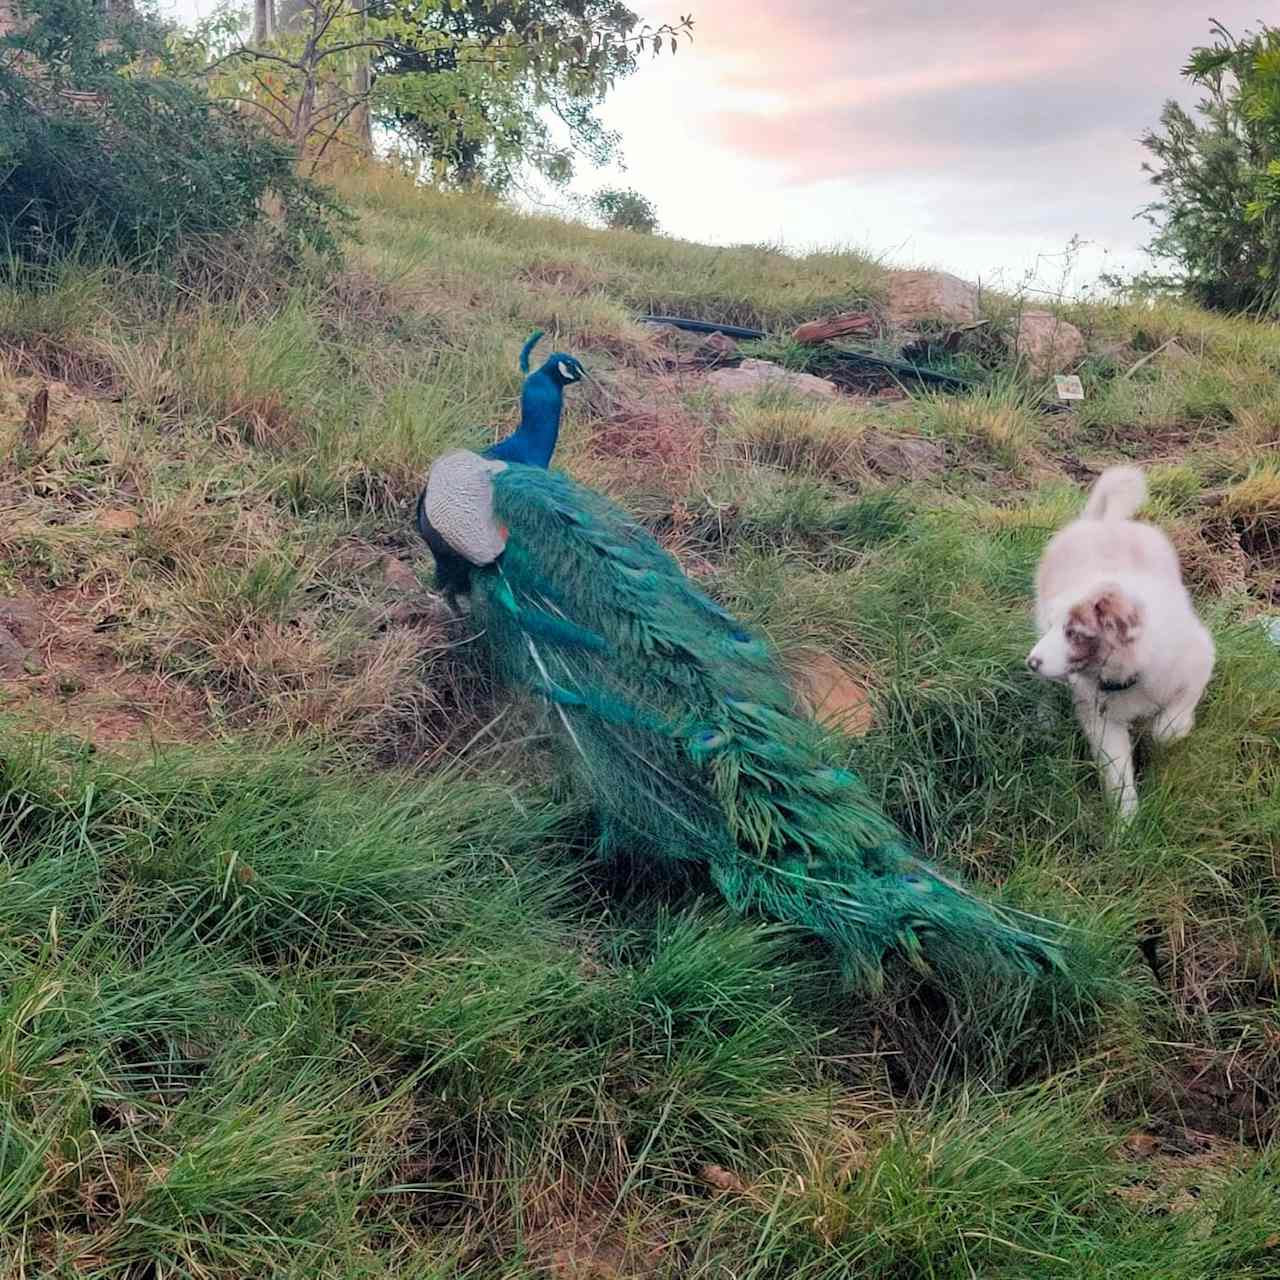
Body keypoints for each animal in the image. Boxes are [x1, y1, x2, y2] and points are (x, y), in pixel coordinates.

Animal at [1024, 468, 1213, 819]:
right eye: (1056, 626)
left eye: (1075, 631)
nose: (1031, 662)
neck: (1128, 674)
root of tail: (1106, 522)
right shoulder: (1101, 720)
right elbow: (1117, 773)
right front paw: (1126, 824)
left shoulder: (1199, 659)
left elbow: (1172, 719)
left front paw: (1169, 729)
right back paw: (1045, 720)